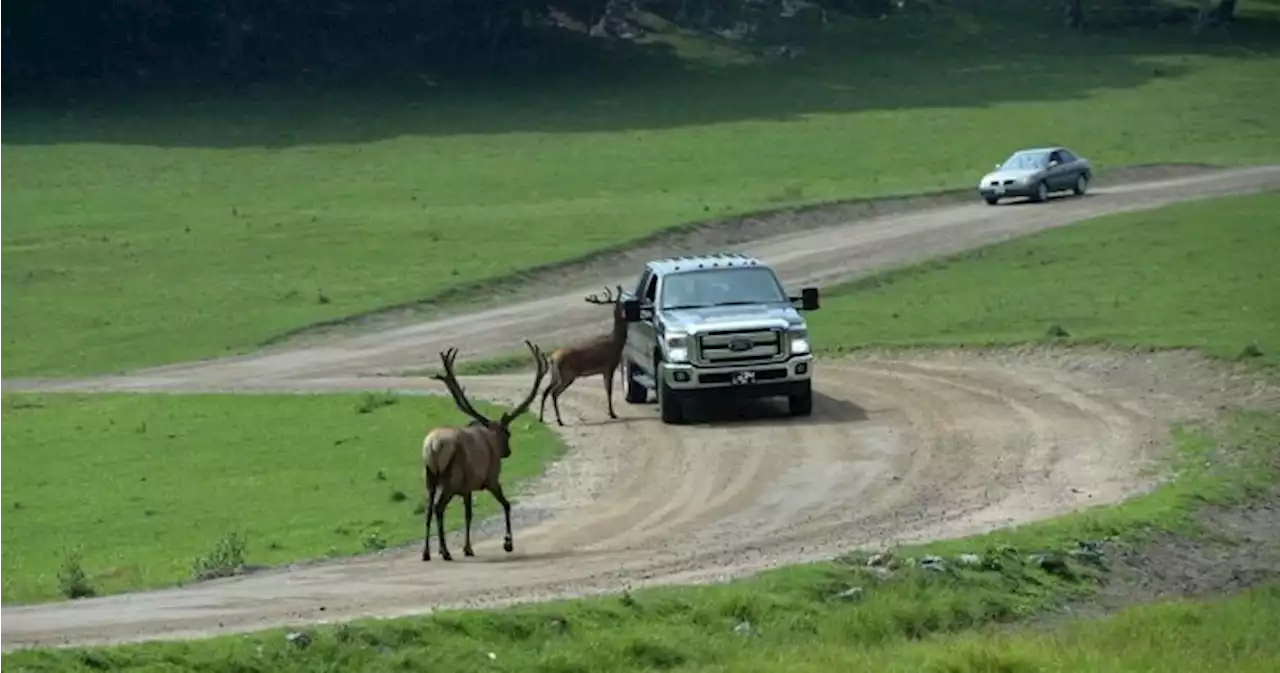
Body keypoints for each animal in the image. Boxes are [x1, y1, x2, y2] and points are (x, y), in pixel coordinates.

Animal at [422, 337, 547, 565]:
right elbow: (506, 505)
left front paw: (468, 548)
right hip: (450, 478)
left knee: (427, 510)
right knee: (438, 508)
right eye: (508, 433)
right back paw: (445, 551)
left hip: (429, 476)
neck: (490, 438)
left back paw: (426, 553)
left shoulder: (467, 488)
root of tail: (433, 446)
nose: (507, 452)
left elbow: (468, 514)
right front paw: (507, 543)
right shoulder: (490, 479)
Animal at [535, 285, 629, 427]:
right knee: (554, 393)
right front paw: (612, 414)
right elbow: (609, 391)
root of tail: (553, 358)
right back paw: (559, 421)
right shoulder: (609, 367)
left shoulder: (604, 370)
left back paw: (541, 418)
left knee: (546, 391)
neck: (615, 342)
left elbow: (607, 390)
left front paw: (611, 413)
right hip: (567, 375)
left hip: (555, 375)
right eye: (623, 305)